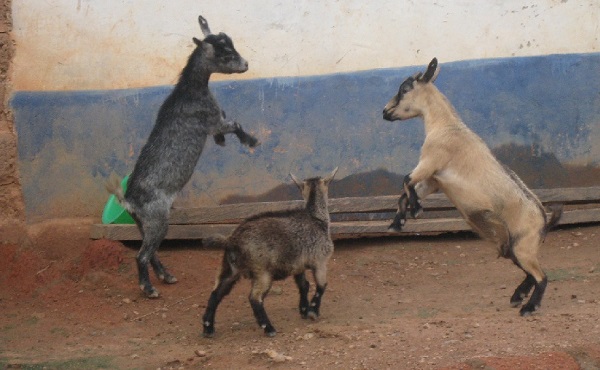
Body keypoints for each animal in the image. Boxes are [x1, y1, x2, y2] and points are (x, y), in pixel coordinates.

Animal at [202, 169, 338, 336]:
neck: (315, 218)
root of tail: (233, 240)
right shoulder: (320, 261)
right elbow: (321, 285)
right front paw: (313, 311)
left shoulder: (298, 265)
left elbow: (304, 285)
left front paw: (304, 310)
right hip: (262, 272)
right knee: (254, 298)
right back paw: (269, 328)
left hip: (229, 268)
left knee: (216, 293)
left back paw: (208, 328)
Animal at [384, 57, 564, 316]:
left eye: (404, 89)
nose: (385, 112)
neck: (446, 126)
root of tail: (544, 219)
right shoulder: (435, 180)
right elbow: (406, 191)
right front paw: (397, 223)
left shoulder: (431, 162)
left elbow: (406, 179)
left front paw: (415, 211)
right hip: (516, 247)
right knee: (530, 273)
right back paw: (517, 297)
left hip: (524, 246)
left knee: (542, 276)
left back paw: (529, 307)